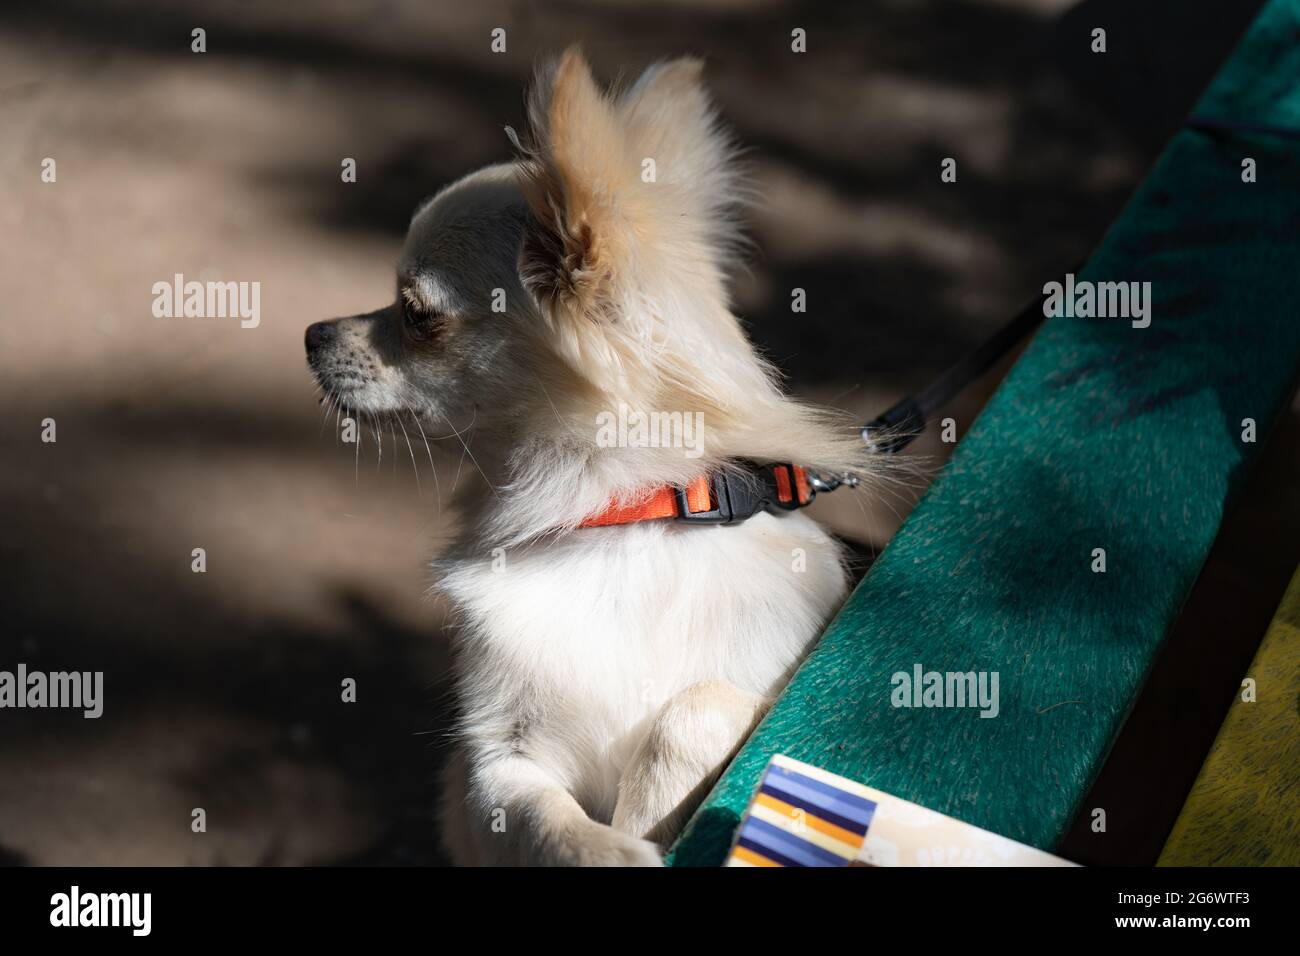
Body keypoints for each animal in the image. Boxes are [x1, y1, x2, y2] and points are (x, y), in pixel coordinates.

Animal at [301, 48, 883, 868]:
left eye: (415, 315)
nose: (312, 334)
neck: (631, 521)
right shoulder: (492, 766)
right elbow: (539, 813)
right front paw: (611, 851)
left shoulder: (767, 688)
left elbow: (701, 705)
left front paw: (642, 826)